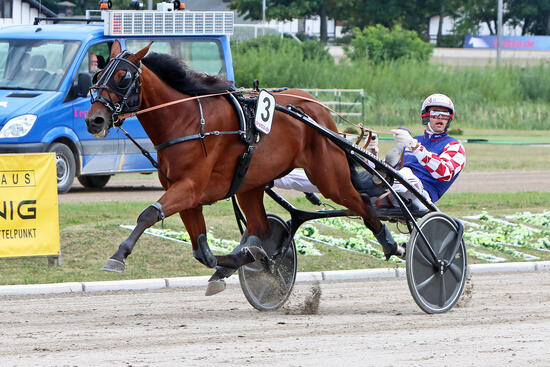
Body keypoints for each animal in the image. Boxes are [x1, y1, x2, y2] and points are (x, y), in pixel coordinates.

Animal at [86, 40, 406, 296]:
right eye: (98, 75)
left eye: (124, 77)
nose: (94, 120)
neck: (187, 120)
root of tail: (317, 107)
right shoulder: (186, 194)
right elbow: (201, 250)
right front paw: (230, 263)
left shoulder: (190, 188)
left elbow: (149, 214)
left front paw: (118, 256)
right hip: (250, 185)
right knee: (260, 227)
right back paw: (251, 256)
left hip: (330, 177)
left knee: (363, 205)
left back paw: (392, 244)